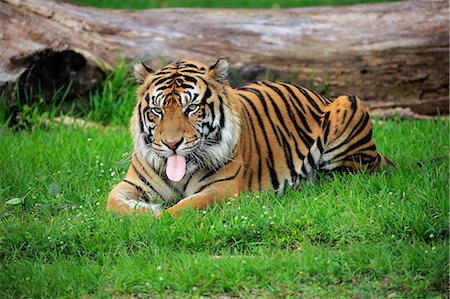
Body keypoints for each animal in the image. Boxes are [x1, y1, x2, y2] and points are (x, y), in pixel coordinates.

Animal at [106, 57, 394, 219]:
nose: (171, 144)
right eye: (157, 110)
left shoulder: (222, 189)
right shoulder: (133, 182)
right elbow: (112, 202)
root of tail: (320, 95)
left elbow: (182, 209)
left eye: (192, 108)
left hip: (349, 105)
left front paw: (155, 217)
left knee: (342, 178)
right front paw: (143, 210)